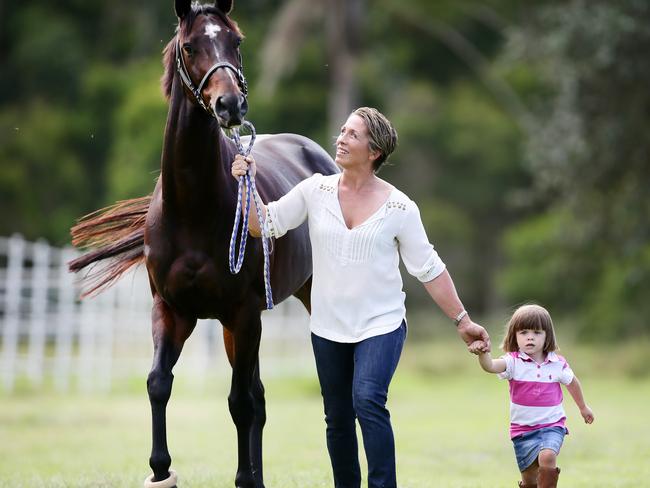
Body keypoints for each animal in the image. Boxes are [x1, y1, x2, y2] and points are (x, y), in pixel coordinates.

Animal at [69, 1, 336, 486]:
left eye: (236, 42)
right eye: (190, 45)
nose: (230, 104)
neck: (194, 208)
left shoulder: (242, 314)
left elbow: (239, 403)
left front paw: (244, 478)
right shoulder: (172, 309)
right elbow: (159, 382)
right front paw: (160, 469)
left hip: (286, 305)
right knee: (258, 396)